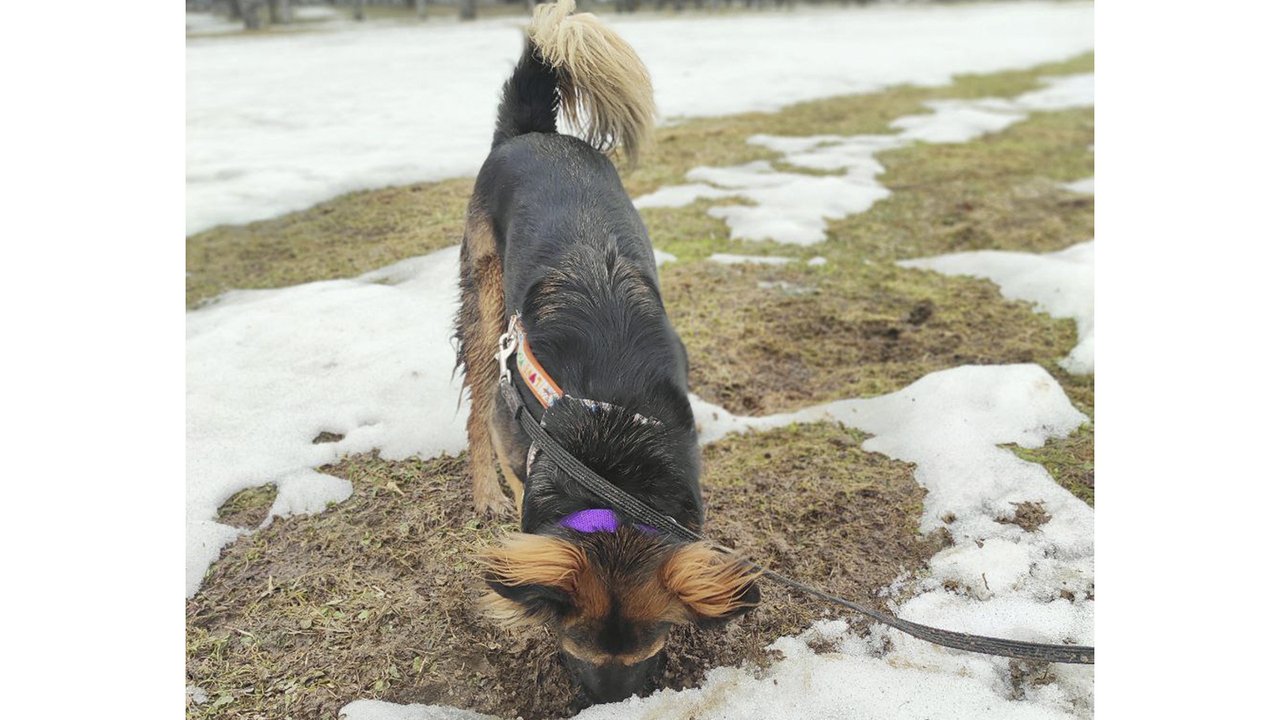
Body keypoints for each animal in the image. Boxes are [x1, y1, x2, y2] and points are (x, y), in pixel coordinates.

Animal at [455, 0, 757, 702]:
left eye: (655, 650)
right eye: (574, 654)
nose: (611, 704)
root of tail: (532, 133)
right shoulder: (520, 433)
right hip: (487, 309)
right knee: (477, 405)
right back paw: (483, 492)